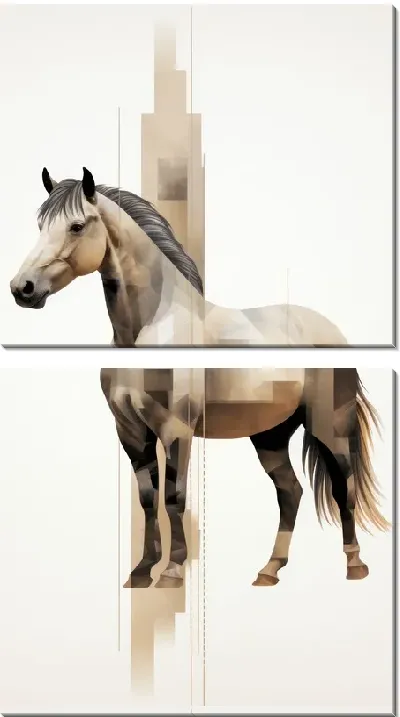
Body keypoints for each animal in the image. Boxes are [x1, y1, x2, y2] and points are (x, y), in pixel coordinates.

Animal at [100, 366, 389, 588]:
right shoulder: (130, 432)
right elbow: (147, 499)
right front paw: (141, 571)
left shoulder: (177, 429)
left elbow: (173, 497)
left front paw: (172, 571)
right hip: (270, 436)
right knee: (290, 491)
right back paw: (270, 569)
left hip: (329, 427)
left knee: (343, 487)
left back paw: (355, 564)